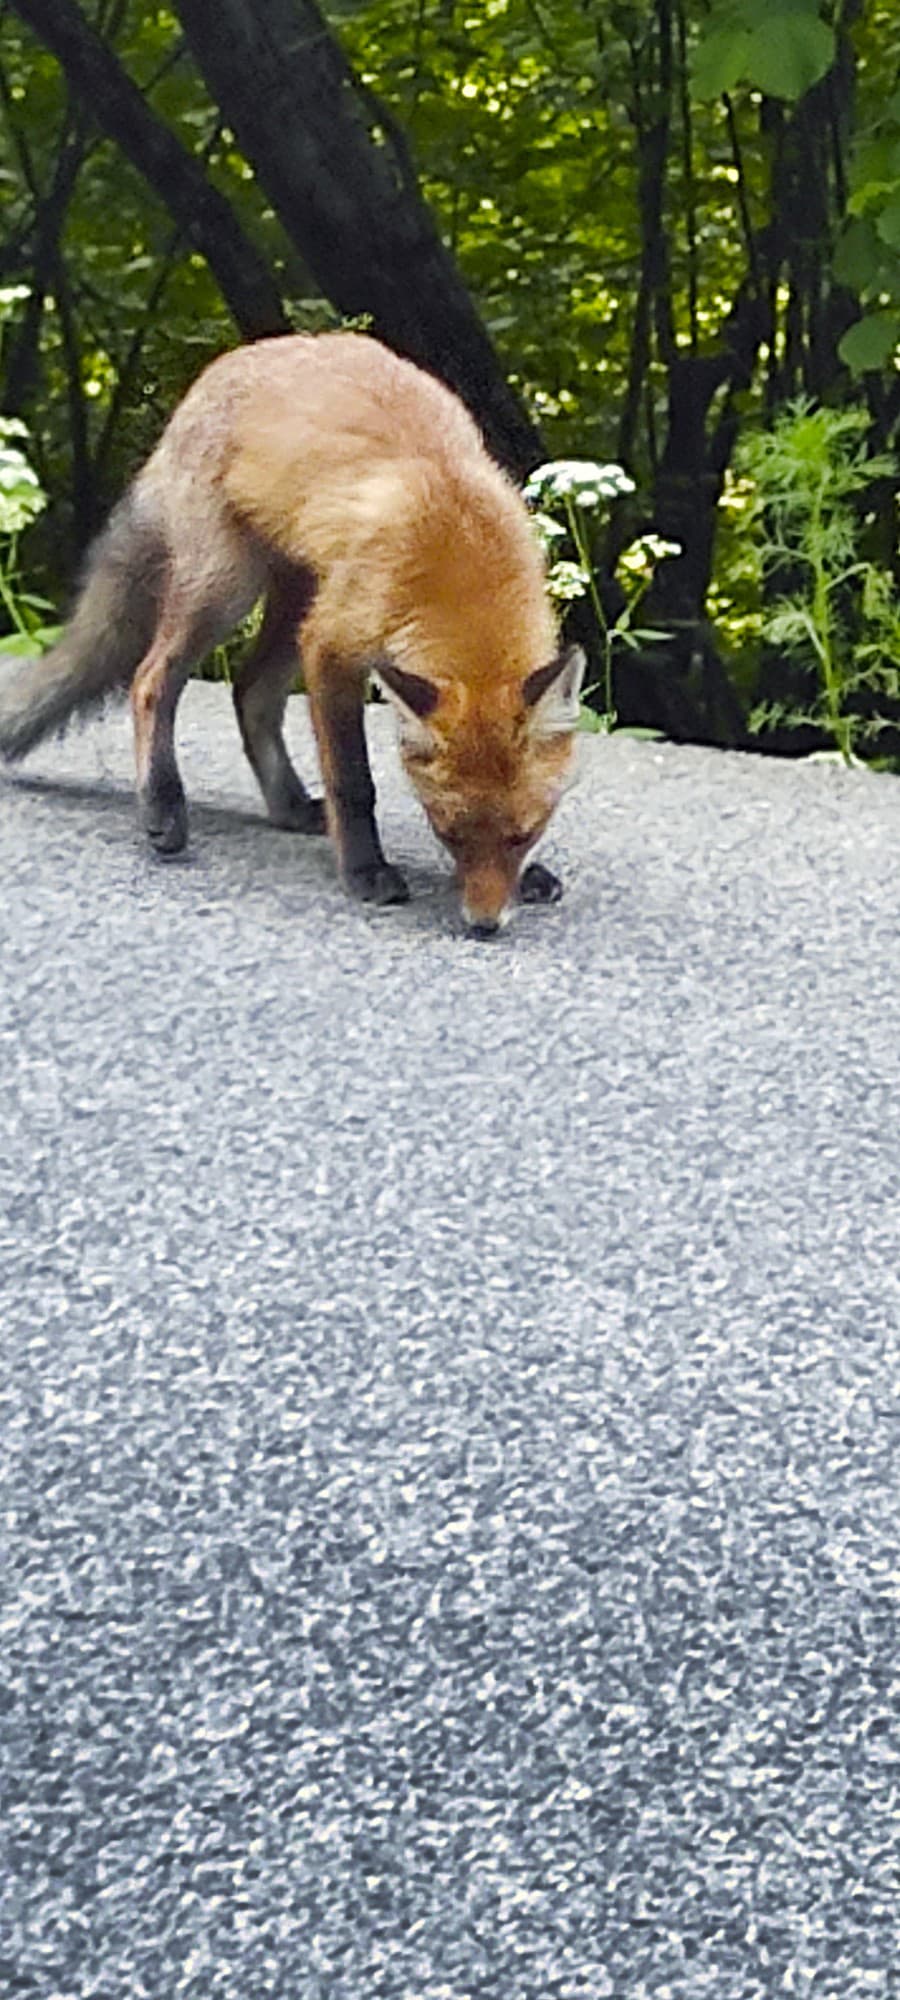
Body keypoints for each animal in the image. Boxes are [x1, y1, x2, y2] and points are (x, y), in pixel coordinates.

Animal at [0, 334, 584, 936]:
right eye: (448, 833)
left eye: (524, 833)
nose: (483, 924)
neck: (460, 553)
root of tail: (216, 372)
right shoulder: (331, 646)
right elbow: (353, 781)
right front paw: (365, 871)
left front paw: (526, 876)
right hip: (228, 588)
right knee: (150, 679)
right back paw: (163, 805)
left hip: (296, 599)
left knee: (250, 691)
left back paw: (287, 807)